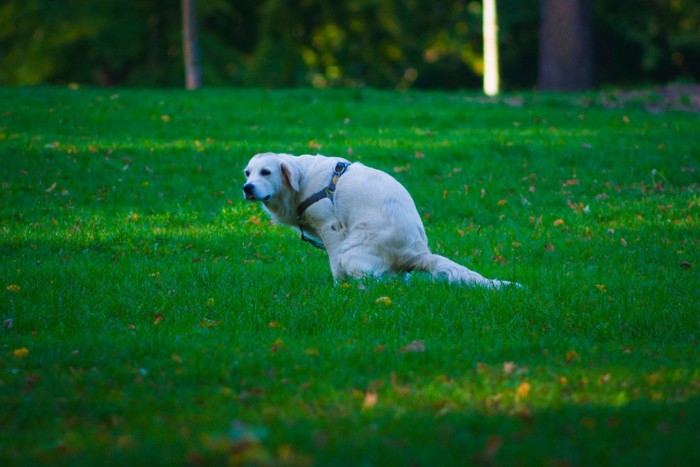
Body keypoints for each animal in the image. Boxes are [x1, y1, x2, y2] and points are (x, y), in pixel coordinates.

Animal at [243, 153, 516, 288]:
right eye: (247, 173)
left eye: (266, 172)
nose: (247, 188)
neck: (302, 182)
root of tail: (417, 253)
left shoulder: (331, 228)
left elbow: (334, 265)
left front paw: (337, 288)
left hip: (351, 252)